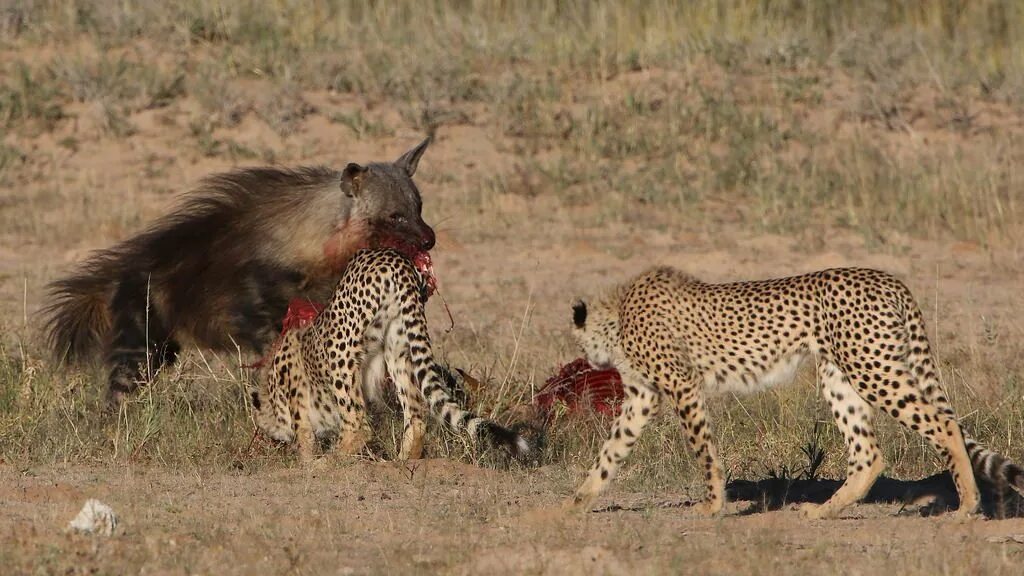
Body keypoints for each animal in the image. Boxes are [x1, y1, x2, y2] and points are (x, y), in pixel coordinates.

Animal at [251, 248, 532, 461]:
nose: (274, 439)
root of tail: (392, 256)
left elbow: (306, 437)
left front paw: (308, 463)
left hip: (341, 347)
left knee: (359, 425)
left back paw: (333, 460)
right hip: (399, 345)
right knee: (416, 415)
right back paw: (404, 461)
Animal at [569, 266, 1024, 518]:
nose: (588, 361)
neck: (619, 313)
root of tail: (887, 278)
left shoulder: (683, 387)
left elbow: (704, 453)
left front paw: (713, 506)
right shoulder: (642, 397)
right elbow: (610, 452)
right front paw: (574, 502)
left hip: (872, 369)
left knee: (944, 423)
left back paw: (967, 506)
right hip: (838, 376)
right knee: (869, 453)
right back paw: (824, 513)